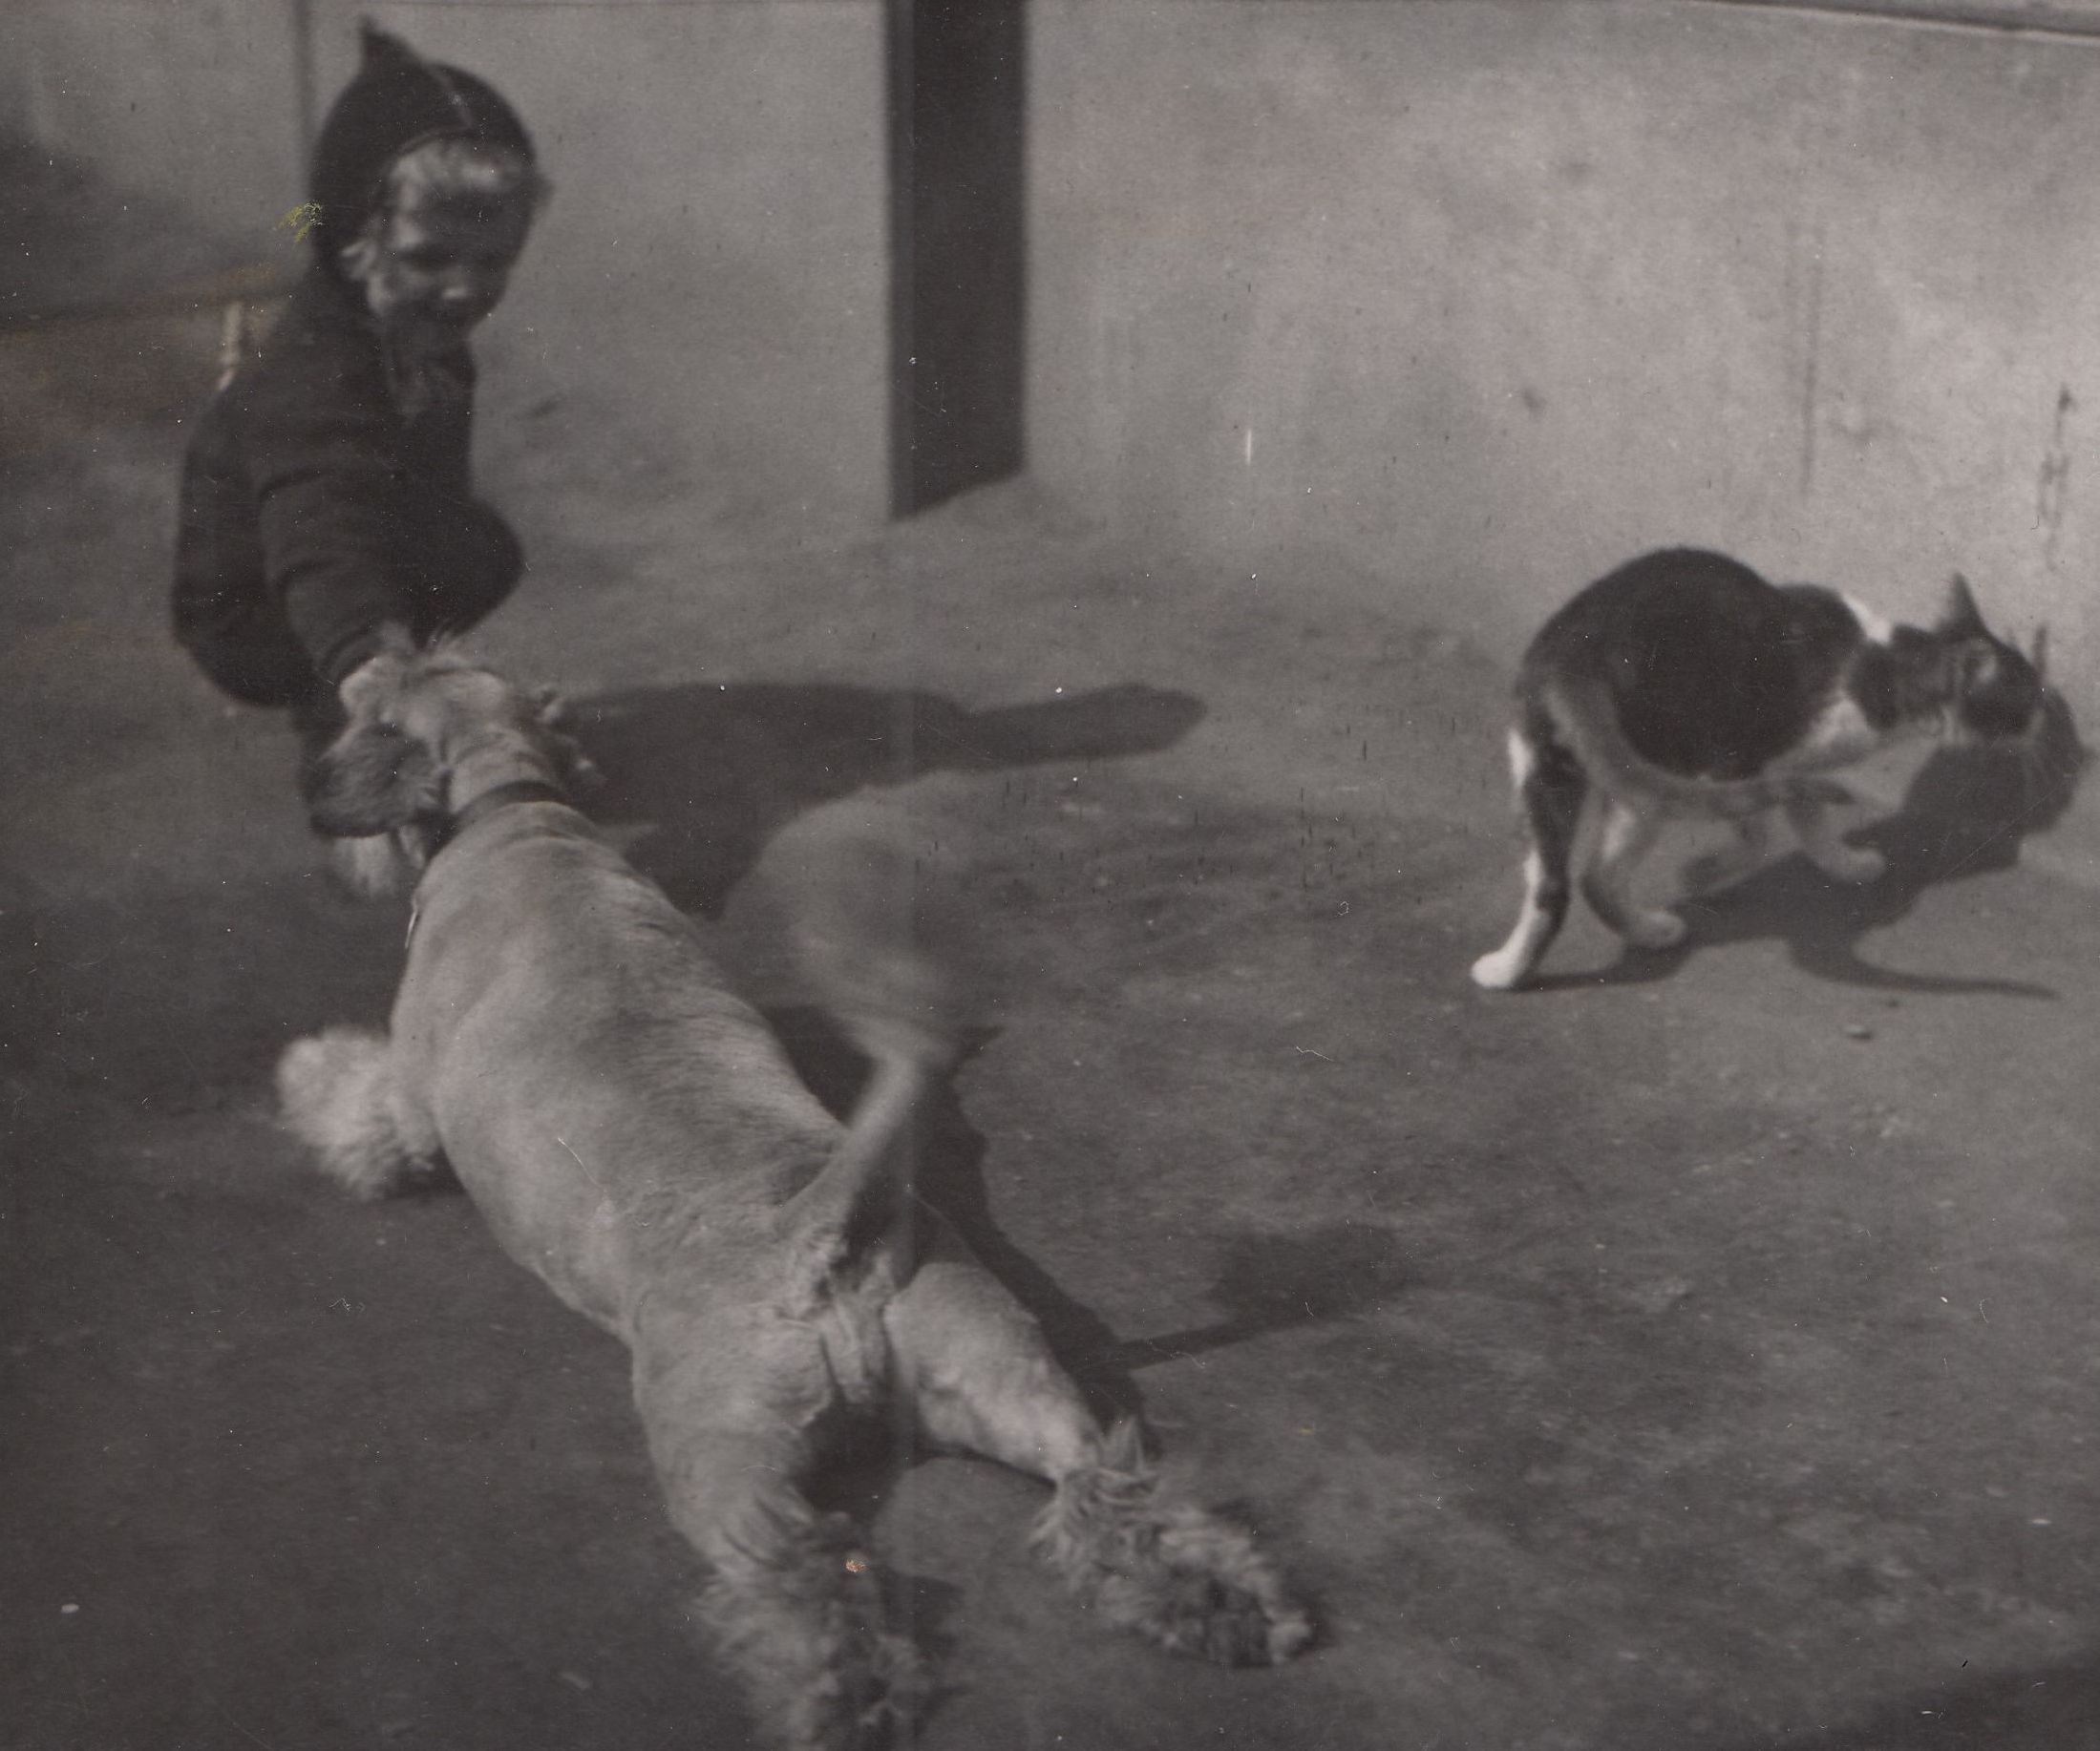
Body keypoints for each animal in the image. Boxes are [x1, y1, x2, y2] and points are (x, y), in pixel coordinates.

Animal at [275, 638, 1310, 1749]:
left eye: (360, 707)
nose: (309, 780)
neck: (511, 807)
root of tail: (818, 1240)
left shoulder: (410, 1103)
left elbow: (354, 1098)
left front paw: (303, 1078)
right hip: (1011, 1380)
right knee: (1105, 1487)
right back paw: (1224, 1603)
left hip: (721, 1457)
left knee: (808, 1573)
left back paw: (845, 1694)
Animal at [1471, 547, 2046, 992]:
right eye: (2026, 697)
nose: (2047, 712)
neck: (1883, 665)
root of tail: (1575, 652)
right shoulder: (1738, 760)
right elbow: (1763, 833)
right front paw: (1706, 871)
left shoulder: (1791, 770)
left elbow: (1808, 821)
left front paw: (1843, 864)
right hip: (1655, 766)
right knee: (1599, 872)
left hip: (1550, 765)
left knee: (1559, 883)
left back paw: (1518, 969)